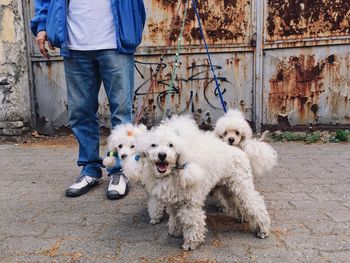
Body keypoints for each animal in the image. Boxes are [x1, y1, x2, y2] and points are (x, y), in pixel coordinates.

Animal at [127, 117, 272, 252]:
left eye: (171, 145)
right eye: (153, 145)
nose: (162, 155)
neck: (174, 172)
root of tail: (241, 151)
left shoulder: (189, 203)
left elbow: (192, 222)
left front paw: (192, 242)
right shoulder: (174, 201)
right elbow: (175, 216)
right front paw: (175, 230)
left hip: (242, 185)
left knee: (256, 204)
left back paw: (263, 229)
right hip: (228, 187)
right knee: (235, 201)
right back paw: (241, 217)